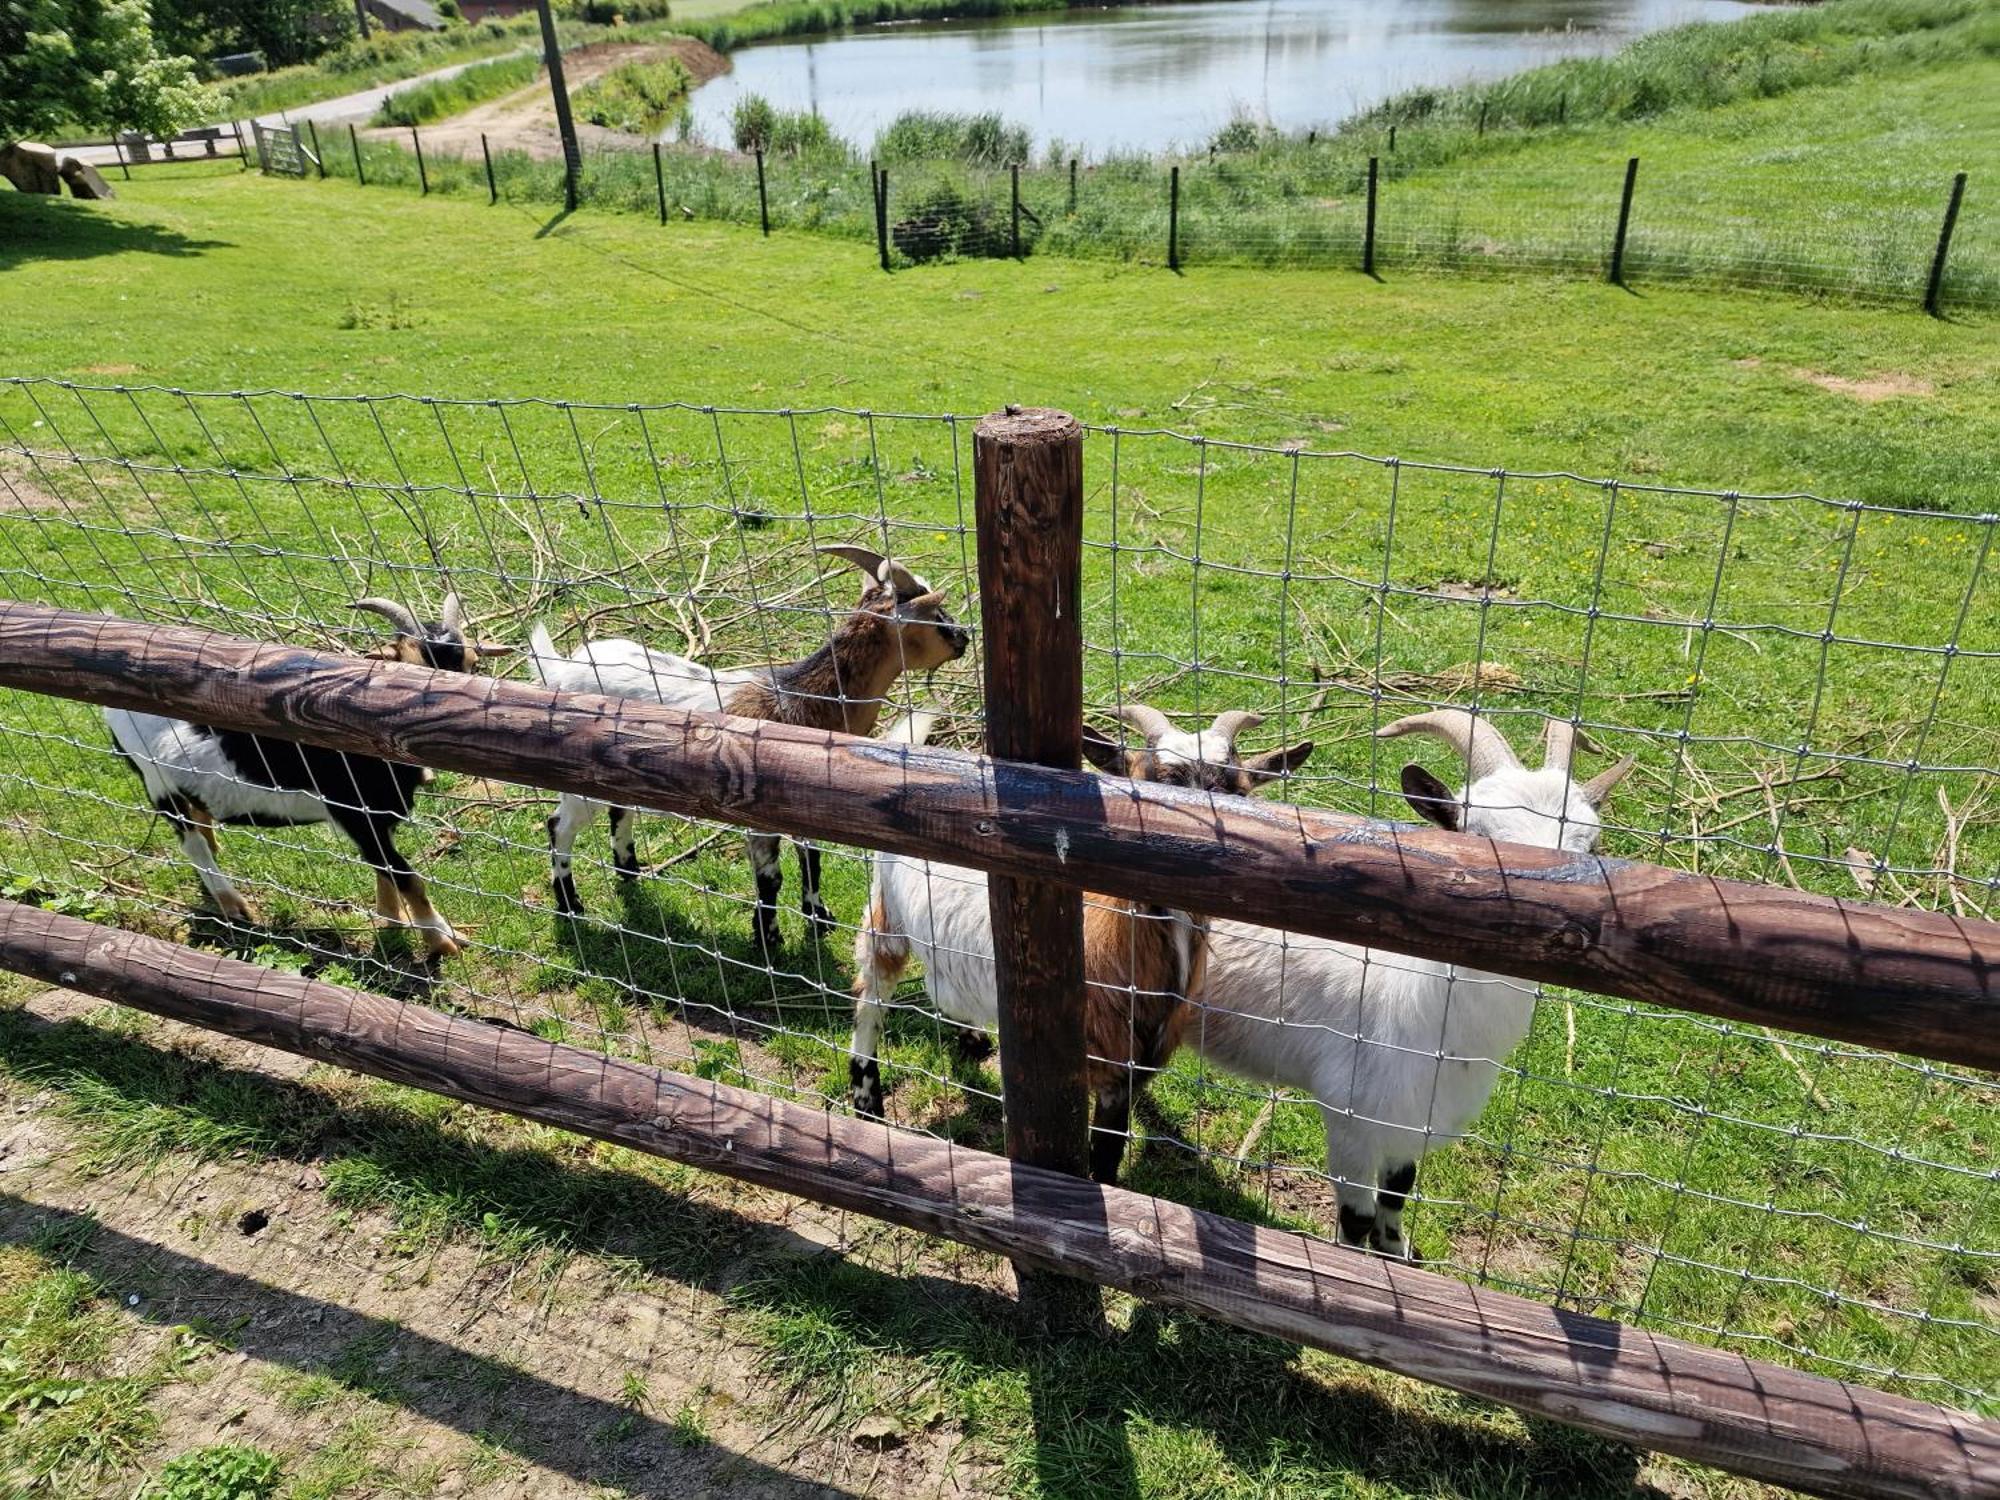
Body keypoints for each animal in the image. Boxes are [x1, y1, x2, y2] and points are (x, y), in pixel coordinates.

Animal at [102, 592, 516, 956]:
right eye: (407, 667)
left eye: (471, 664)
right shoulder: (354, 813)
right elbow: (405, 876)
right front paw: (442, 942)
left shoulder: (378, 819)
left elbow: (382, 868)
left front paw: (391, 920)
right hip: (157, 782)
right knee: (190, 843)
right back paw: (233, 904)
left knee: (199, 820)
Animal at [528, 548, 972, 952]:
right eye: (936, 616)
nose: (965, 637)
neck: (798, 699)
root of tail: (563, 669)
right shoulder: (760, 815)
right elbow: (770, 877)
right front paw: (768, 938)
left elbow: (812, 859)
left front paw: (819, 917)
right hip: (575, 778)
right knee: (559, 826)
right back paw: (570, 903)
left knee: (619, 812)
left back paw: (630, 871)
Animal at [848, 712, 1304, 1192]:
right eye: (1145, 790)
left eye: (1238, 792)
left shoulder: (1127, 1073)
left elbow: (1108, 1150)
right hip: (886, 916)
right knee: (870, 996)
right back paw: (866, 1101)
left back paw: (971, 1038)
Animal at [1184, 712, 1624, 1264]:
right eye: (1473, 836)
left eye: (1592, 847)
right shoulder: (1349, 1118)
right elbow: (1356, 1217)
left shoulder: (1412, 1119)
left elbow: (1397, 1192)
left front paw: (1397, 1252)